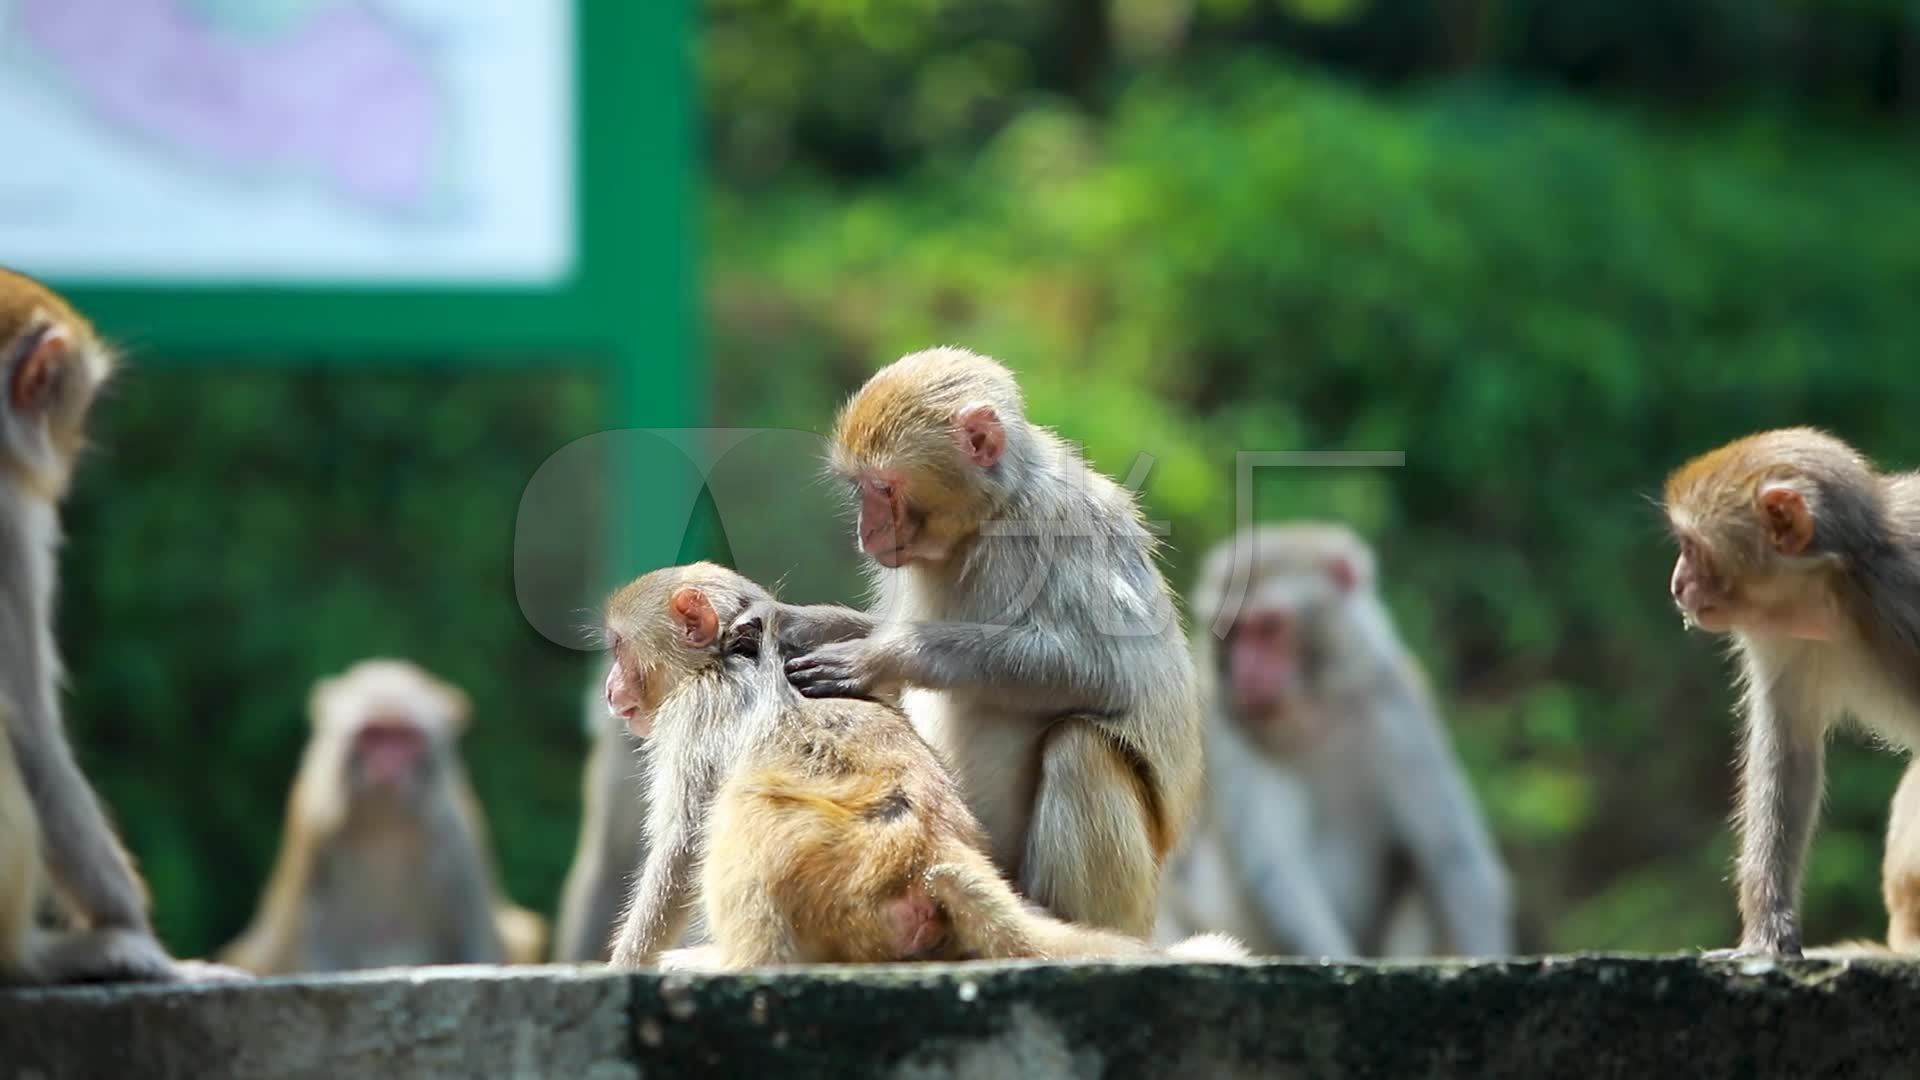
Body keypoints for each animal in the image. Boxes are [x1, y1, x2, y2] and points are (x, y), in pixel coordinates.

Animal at [218, 657, 549, 968]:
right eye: (374, 735)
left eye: (404, 738)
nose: (388, 765)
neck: (384, 825)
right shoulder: (313, 834)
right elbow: (310, 942)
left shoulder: (455, 840)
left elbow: (478, 942)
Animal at [606, 564, 1251, 968]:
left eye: (617, 648)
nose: (611, 689)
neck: (719, 659)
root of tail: (930, 852)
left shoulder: (693, 716)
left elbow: (685, 844)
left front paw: (628, 961)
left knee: (744, 813)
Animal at [768, 343, 1198, 933]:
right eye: (861, 490)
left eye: (884, 488)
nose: (865, 532)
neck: (990, 515)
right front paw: (794, 620)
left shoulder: (1058, 527)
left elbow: (1108, 668)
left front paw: (881, 656)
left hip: (1130, 900)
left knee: (1080, 747)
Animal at [1152, 526, 1512, 953]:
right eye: (1234, 630)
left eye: (1269, 627)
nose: (1245, 671)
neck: (1314, 713)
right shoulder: (1222, 727)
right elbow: (1274, 867)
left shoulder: (1396, 703)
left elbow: (1450, 854)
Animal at [1666, 424, 1920, 953]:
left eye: (1692, 548)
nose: (1676, 584)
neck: (1839, 591)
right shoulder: (1783, 637)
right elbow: (1787, 755)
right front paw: (1768, 928)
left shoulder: (1902, 597)